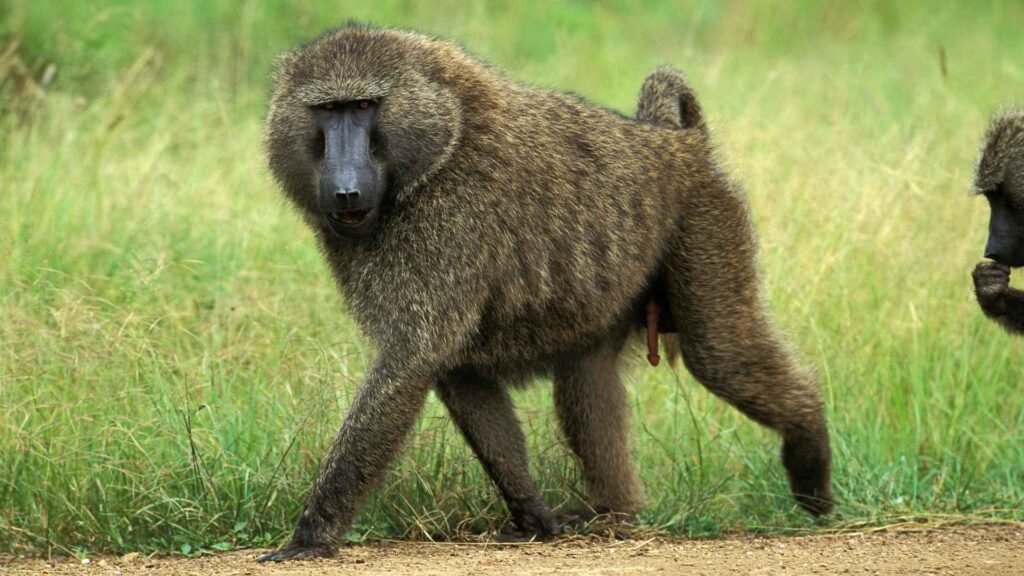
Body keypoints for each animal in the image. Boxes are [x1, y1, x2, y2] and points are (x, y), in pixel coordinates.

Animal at [259, 24, 833, 561]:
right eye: (327, 111)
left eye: (363, 106)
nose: (345, 190)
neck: (440, 145)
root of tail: (677, 143)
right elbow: (457, 373)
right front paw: (533, 516)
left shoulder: (450, 225)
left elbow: (409, 363)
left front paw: (310, 536)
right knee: (586, 381)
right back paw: (613, 512)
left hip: (707, 223)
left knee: (719, 354)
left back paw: (812, 461)